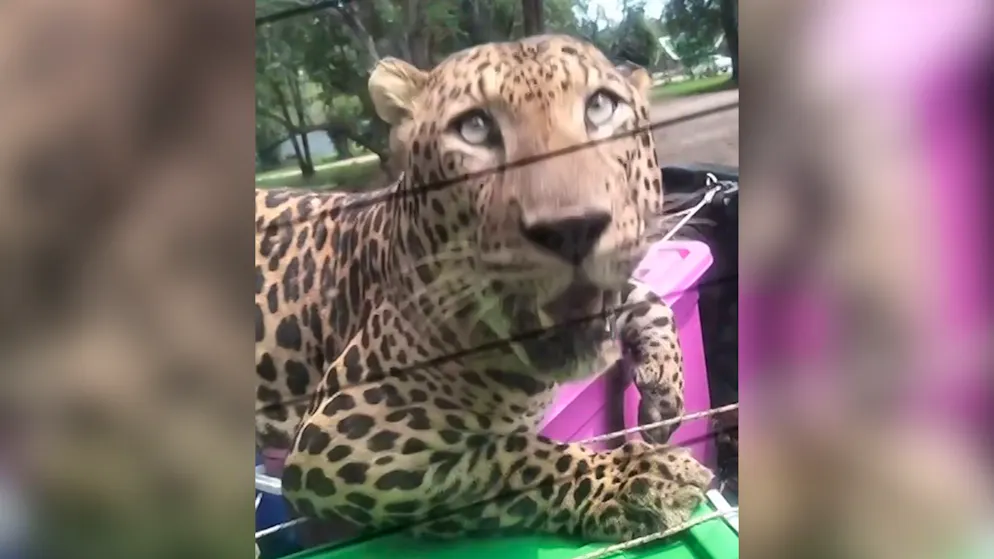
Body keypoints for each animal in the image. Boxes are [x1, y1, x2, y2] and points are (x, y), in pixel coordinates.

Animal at [255, 34, 712, 542]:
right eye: (474, 128)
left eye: (600, 107)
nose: (571, 229)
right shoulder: (340, 438)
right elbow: (512, 458)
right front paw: (639, 481)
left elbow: (645, 297)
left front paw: (663, 395)